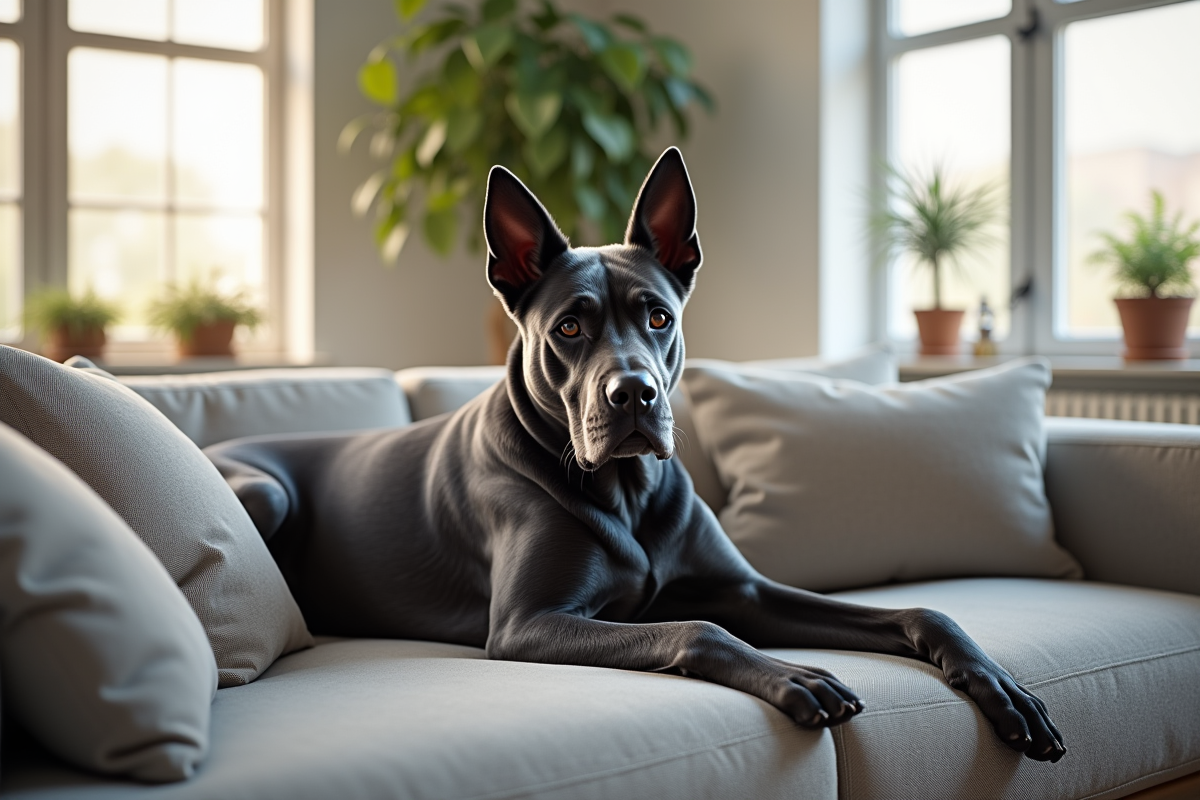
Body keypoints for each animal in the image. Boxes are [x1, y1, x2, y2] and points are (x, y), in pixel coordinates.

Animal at [208, 148, 1070, 762]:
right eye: (568, 328)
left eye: (658, 316)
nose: (634, 396)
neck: (621, 487)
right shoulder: (528, 625)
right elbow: (697, 628)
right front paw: (795, 674)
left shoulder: (747, 589)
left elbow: (920, 608)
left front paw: (1000, 686)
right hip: (265, 492)